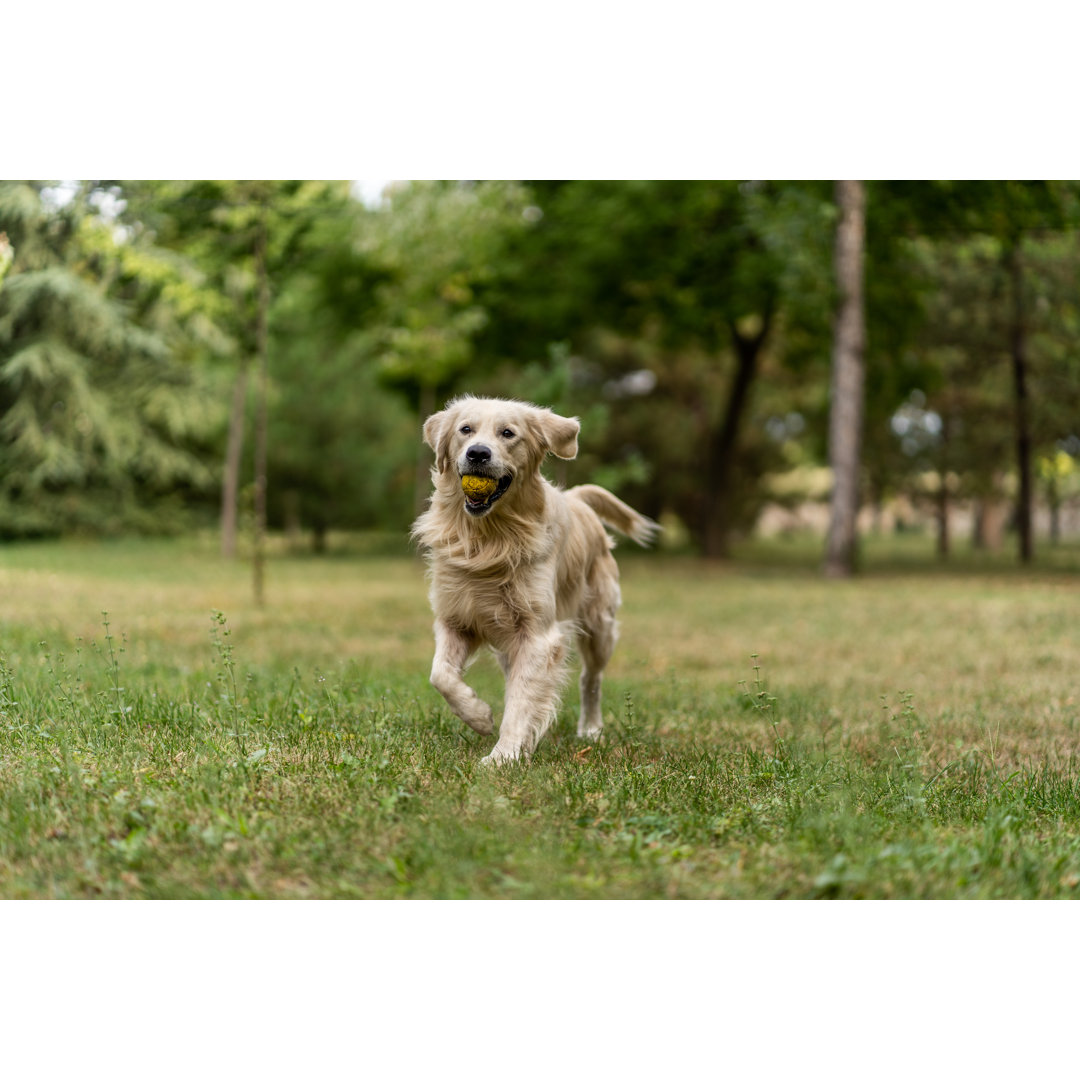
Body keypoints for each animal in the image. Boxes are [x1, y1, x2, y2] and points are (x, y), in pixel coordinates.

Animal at [408, 395, 656, 760]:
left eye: (508, 433)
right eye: (465, 430)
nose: (478, 453)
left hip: (600, 624)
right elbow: (440, 675)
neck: (490, 539)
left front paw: (504, 755)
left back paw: (591, 729)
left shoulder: (538, 634)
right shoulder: (456, 618)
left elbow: (523, 698)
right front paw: (479, 716)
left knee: (590, 678)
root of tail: (576, 497)